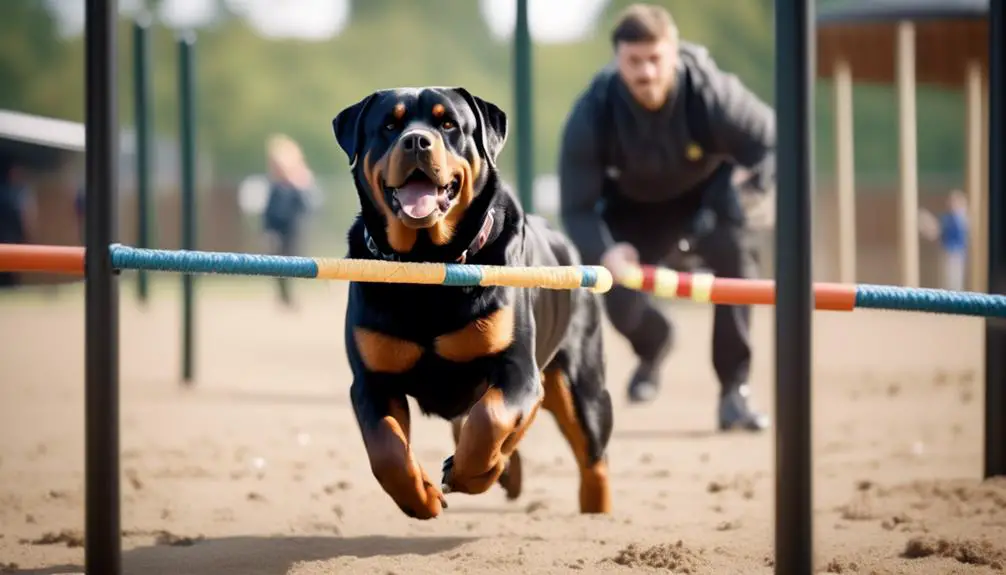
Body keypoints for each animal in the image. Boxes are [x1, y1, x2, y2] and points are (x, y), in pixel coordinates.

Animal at [329, 86, 611, 522]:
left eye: (448, 124)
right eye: (390, 125)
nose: (416, 140)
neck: (426, 266)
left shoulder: (517, 370)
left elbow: (490, 420)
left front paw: (468, 471)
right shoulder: (372, 380)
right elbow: (386, 449)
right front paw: (420, 497)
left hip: (581, 382)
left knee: (592, 454)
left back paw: (593, 509)